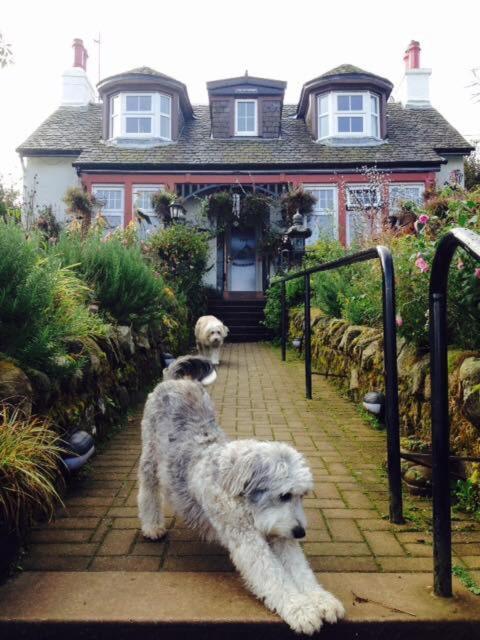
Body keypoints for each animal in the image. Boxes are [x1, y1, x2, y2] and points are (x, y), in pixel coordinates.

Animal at [139, 356, 344, 636]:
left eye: (301, 495)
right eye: (284, 495)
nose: (301, 532)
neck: (240, 496)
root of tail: (174, 380)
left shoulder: (280, 535)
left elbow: (300, 571)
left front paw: (322, 600)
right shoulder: (248, 540)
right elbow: (274, 576)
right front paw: (301, 610)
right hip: (149, 458)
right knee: (147, 491)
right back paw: (152, 526)